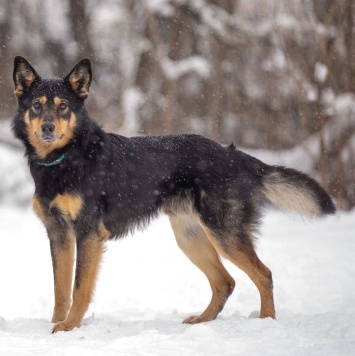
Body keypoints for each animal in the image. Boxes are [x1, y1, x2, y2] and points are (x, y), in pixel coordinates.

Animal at [11, 55, 336, 330]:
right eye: (36, 106)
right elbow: (60, 288)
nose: (48, 128)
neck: (65, 157)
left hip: (223, 234)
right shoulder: (59, 234)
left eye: (63, 106)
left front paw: (70, 326)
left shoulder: (88, 233)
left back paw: (266, 321)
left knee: (263, 274)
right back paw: (202, 321)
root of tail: (235, 155)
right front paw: (56, 323)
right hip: (190, 237)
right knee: (225, 282)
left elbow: (79, 288)